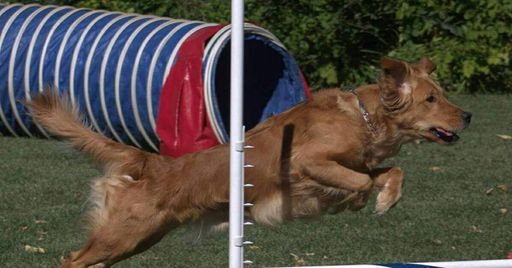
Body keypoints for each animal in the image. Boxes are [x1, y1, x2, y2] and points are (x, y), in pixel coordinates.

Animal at [26, 56, 470, 266]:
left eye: (442, 95)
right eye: (431, 99)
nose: (467, 115)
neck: (363, 117)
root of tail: (154, 163)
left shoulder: (360, 162)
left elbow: (391, 170)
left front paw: (387, 197)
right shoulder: (307, 161)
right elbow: (359, 180)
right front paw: (364, 200)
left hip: (139, 237)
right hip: (125, 232)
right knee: (72, 259)